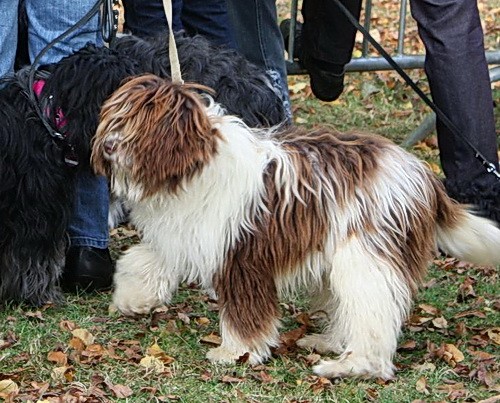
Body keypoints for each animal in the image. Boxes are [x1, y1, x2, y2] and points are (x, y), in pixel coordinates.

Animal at [92, 76, 500, 382]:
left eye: (141, 123)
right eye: (116, 118)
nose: (109, 146)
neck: (194, 166)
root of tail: (423, 175)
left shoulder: (241, 255)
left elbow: (244, 313)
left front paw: (236, 352)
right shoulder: (184, 234)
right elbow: (143, 259)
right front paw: (132, 298)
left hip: (366, 253)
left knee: (373, 313)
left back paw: (354, 365)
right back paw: (328, 342)